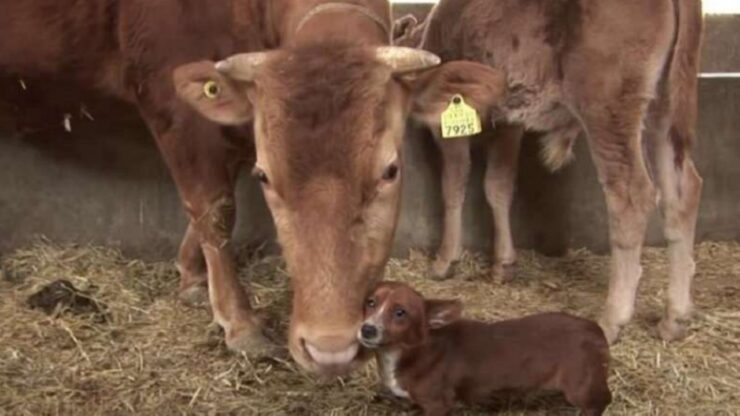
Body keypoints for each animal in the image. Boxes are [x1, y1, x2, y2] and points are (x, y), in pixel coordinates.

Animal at [0, 0, 508, 374]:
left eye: (390, 171)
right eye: (266, 176)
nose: (329, 349)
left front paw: (192, 276)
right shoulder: (174, 104)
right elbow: (213, 206)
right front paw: (238, 321)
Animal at [360, 282, 612, 416]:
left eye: (400, 312)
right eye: (371, 302)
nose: (367, 330)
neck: (412, 350)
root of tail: (596, 330)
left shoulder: (438, 404)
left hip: (580, 387)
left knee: (601, 401)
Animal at [408, 0, 708, 344]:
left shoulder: (449, 121)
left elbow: (453, 185)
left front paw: (444, 260)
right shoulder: (510, 120)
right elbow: (498, 186)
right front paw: (503, 264)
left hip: (607, 108)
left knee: (631, 196)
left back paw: (612, 318)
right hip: (665, 107)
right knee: (683, 191)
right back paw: (674, 317)